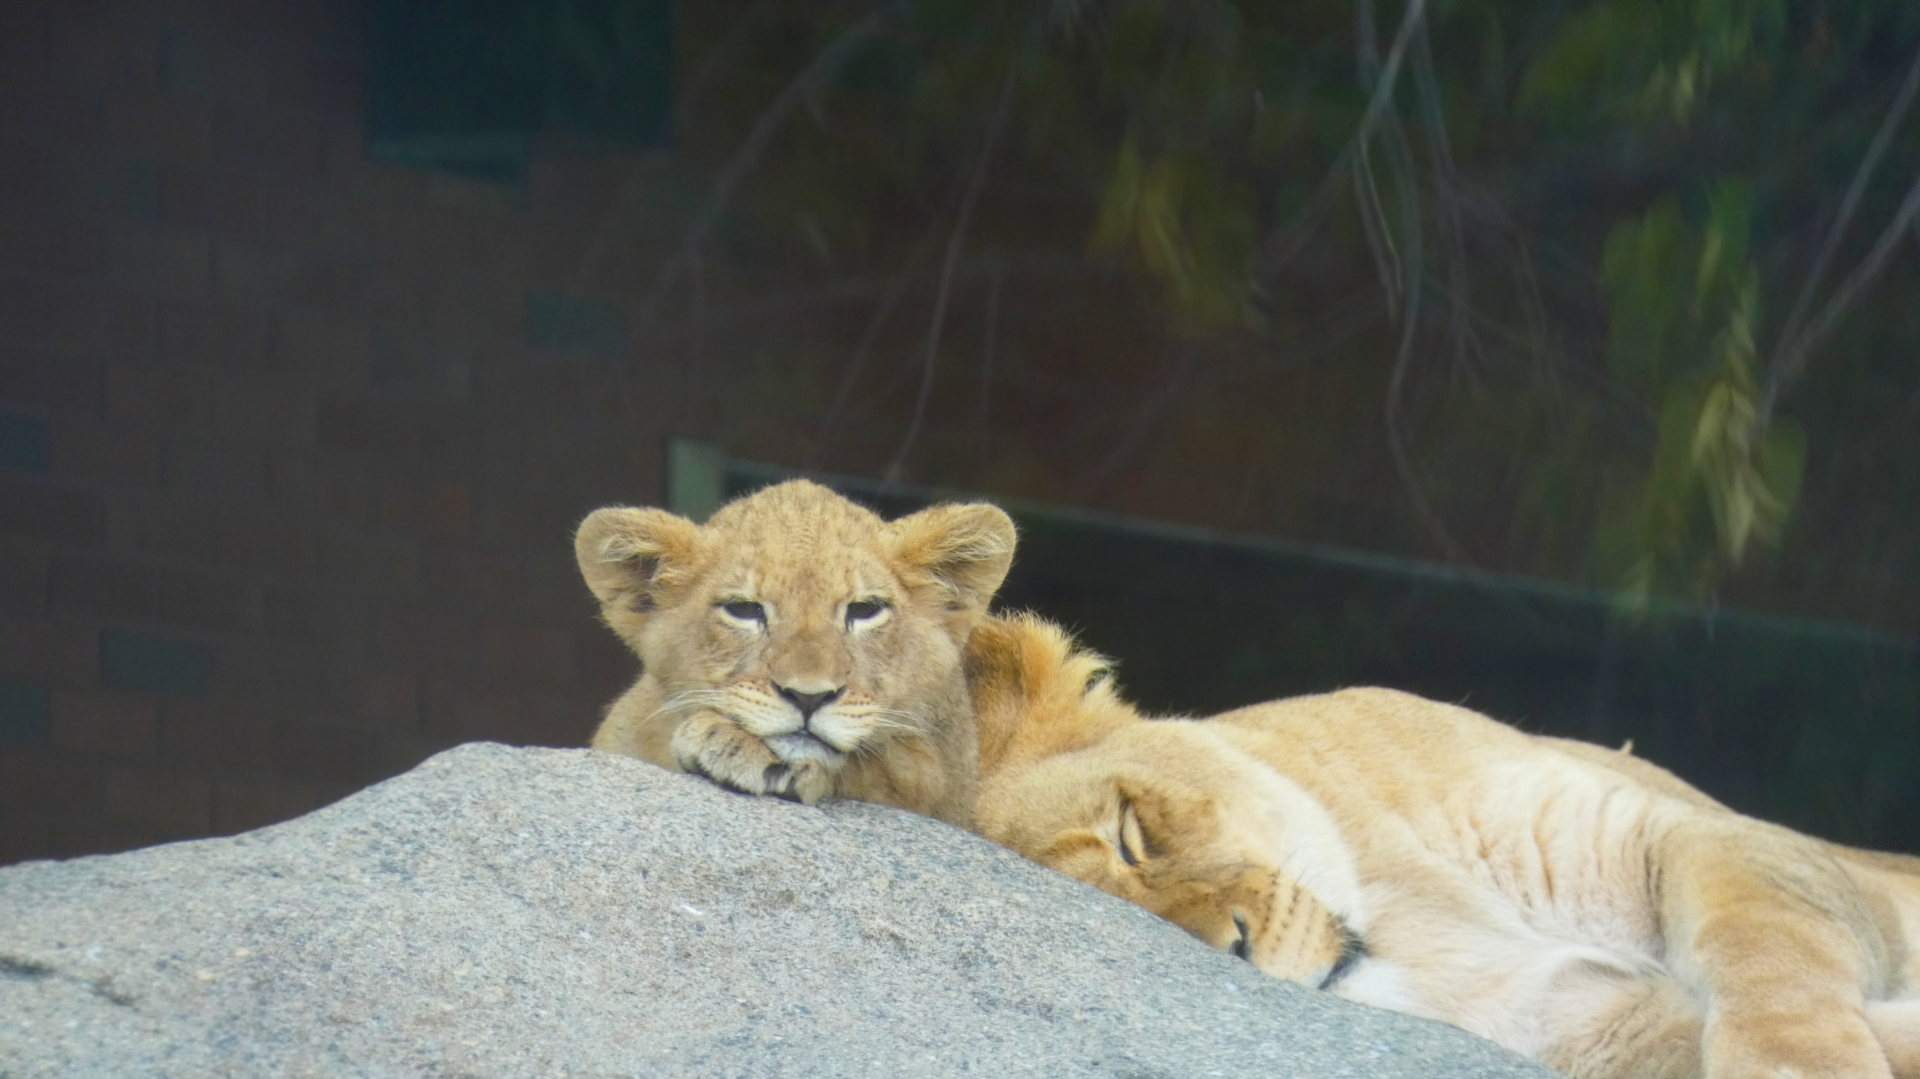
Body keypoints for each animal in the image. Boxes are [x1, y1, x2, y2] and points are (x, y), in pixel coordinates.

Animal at [577, 479, 1016, 825]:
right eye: (743, 609)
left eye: (865, 610)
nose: (809, 698)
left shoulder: (945, 783)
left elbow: (883, 768)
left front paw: (739, 747)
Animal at [966, 614, 1920, 1079]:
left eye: (1130, 836)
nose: (1231, 953)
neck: (1420, 921)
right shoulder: (1612, 1028)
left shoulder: (1713, 833)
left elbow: (1766, 950)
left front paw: (1804, 1068)